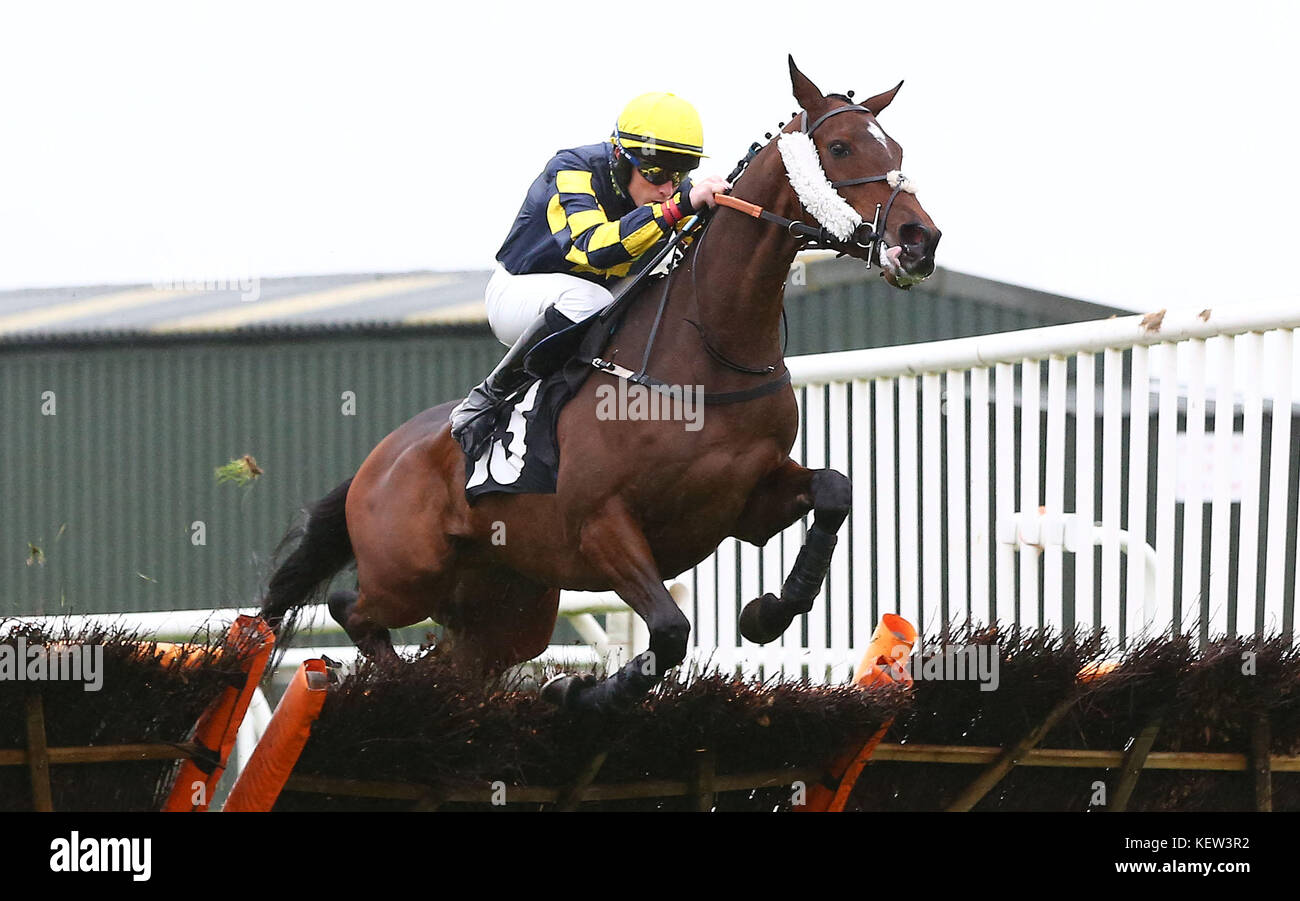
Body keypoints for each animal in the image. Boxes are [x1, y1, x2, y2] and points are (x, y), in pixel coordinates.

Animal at [258, 59, 941, 712]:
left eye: (898, 148)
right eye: (842, 147)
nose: (921, 241)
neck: (708, 349)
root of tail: (377, 460)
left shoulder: (746, 502)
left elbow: (834, 490)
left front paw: (767, 611)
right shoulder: (601, 526)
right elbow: (669, 629)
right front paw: (582, 691)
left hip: (509, 605)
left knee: (453, 657)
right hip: (411, 573)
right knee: (351, 607)